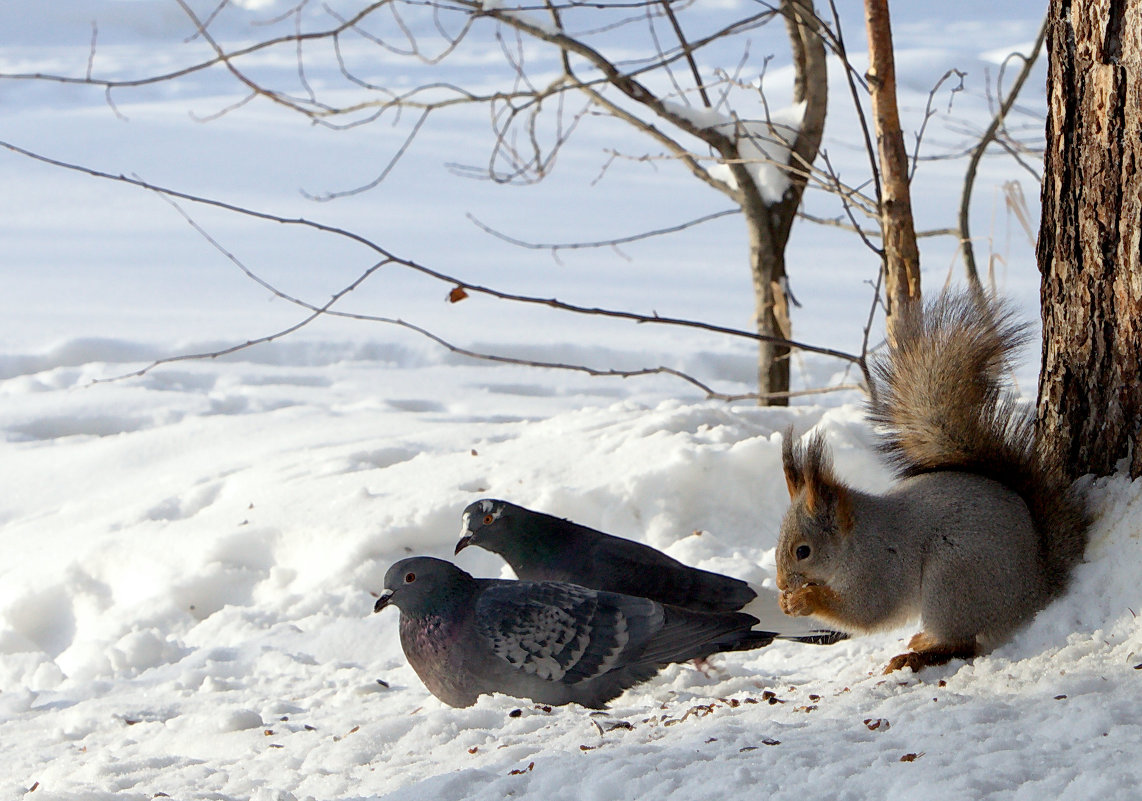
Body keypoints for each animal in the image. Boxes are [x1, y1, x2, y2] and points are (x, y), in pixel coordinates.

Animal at [776, 290, 1087, 671]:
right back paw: (923, 640)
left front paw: (804, 601)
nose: (781, 584)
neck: (856, 539)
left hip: (951, 581)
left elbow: (868, 612)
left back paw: (916, 656)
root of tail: (1037, 587)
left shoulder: (880, 567)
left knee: (965, 644)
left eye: (803, 551)